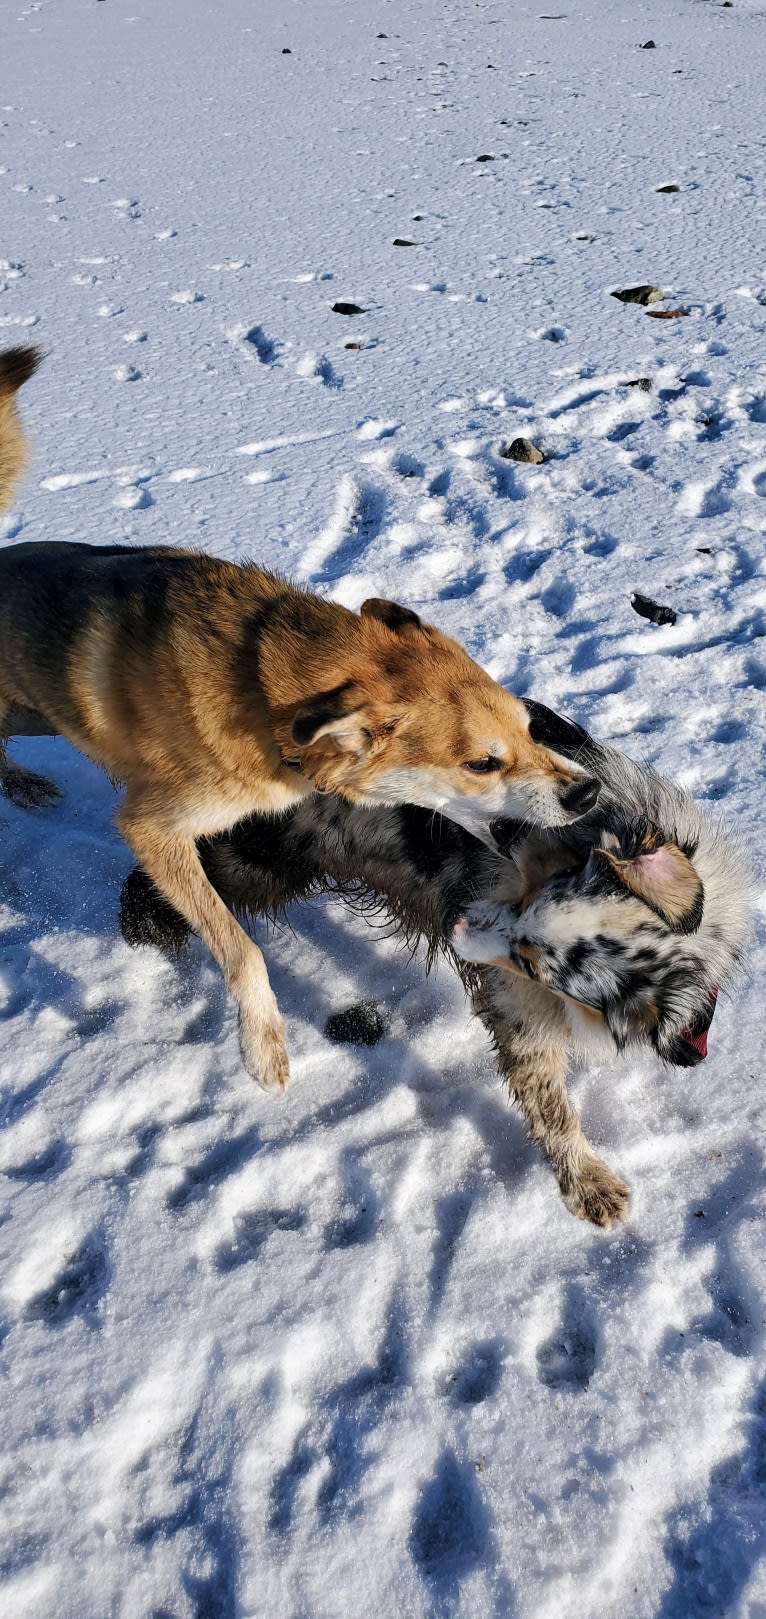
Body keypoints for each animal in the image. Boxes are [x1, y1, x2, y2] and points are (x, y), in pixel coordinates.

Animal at [0, 348, 595, 1094]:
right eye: (481, 763)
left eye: (528, 726)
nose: (587, 792)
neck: (262, 685)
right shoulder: (154, 830)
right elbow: (241, 948)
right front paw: (263, 1047)